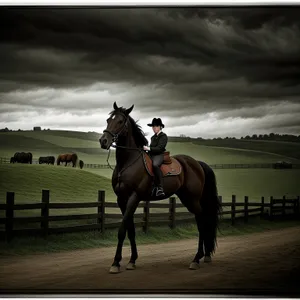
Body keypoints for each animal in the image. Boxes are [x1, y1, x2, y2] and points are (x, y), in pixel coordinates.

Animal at [99, 102, 221, 274]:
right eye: (108, 120)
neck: (127, 163)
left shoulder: (134, 197)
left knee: (201, 222)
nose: (103, 141)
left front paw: (116, 263)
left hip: (192, 199)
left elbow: (122, 230)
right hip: (188, 198)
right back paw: (206, 256)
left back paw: (196, 259)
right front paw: (132, 260)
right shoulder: (121, 200)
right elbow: (130, 230)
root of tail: (197, 163)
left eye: (121, 121)